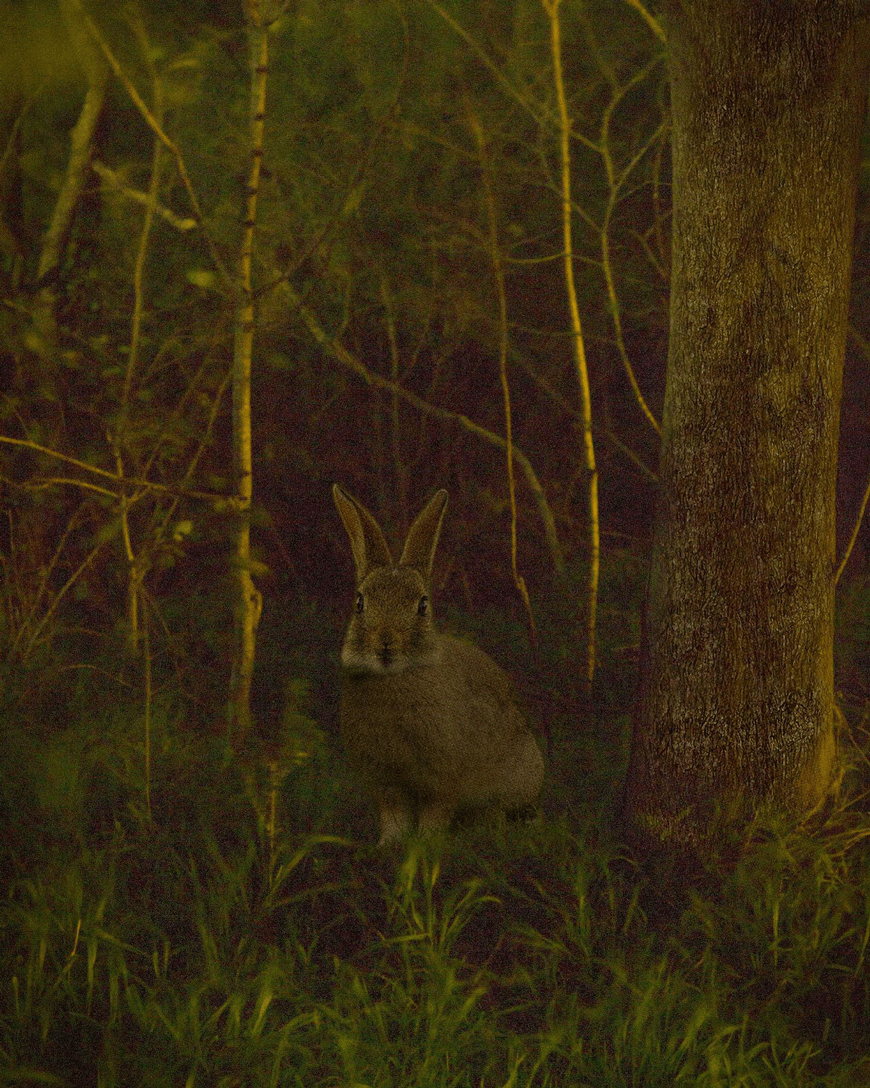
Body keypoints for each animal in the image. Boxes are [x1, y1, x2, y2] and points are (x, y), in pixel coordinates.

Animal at [332, 483, 544, 845]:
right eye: (359, 603)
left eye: (422, 605)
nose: (385, 642)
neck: (395, 675)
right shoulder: (387, 783)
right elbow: (393, 817)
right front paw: (389, 845)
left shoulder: (443, 779)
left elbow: (436, 812)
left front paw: (426, 844)